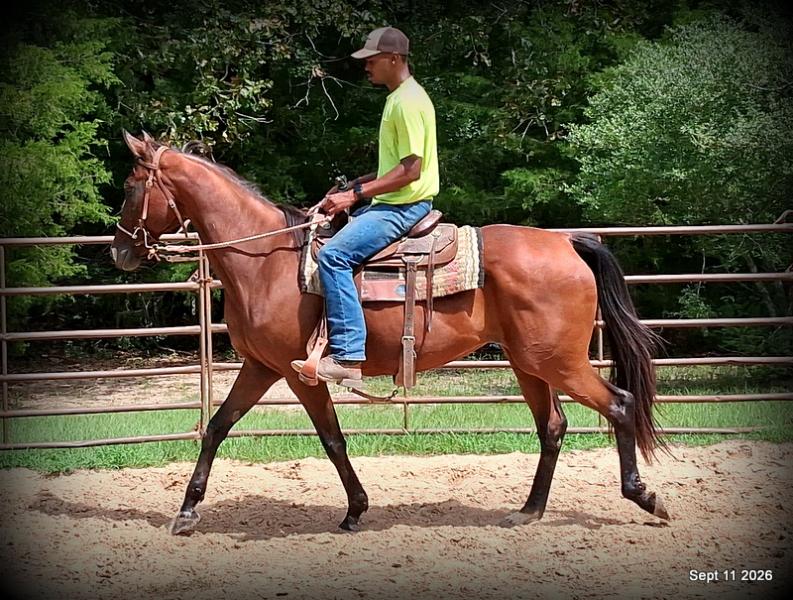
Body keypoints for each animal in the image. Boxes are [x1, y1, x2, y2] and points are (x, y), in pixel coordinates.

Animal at [111, 132, 669, 535]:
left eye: (131, 187)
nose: (119, 251)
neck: (266, 261)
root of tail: (568, 243)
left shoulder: (298, 374)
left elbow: (331, 438)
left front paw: (356, 510)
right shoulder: (261, 366)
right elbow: (217, 427)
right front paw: (187, 512)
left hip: (559, 361)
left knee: (619, 404)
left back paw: (645, 497)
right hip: (528, 361)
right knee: (552, 426)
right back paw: (528, 511)